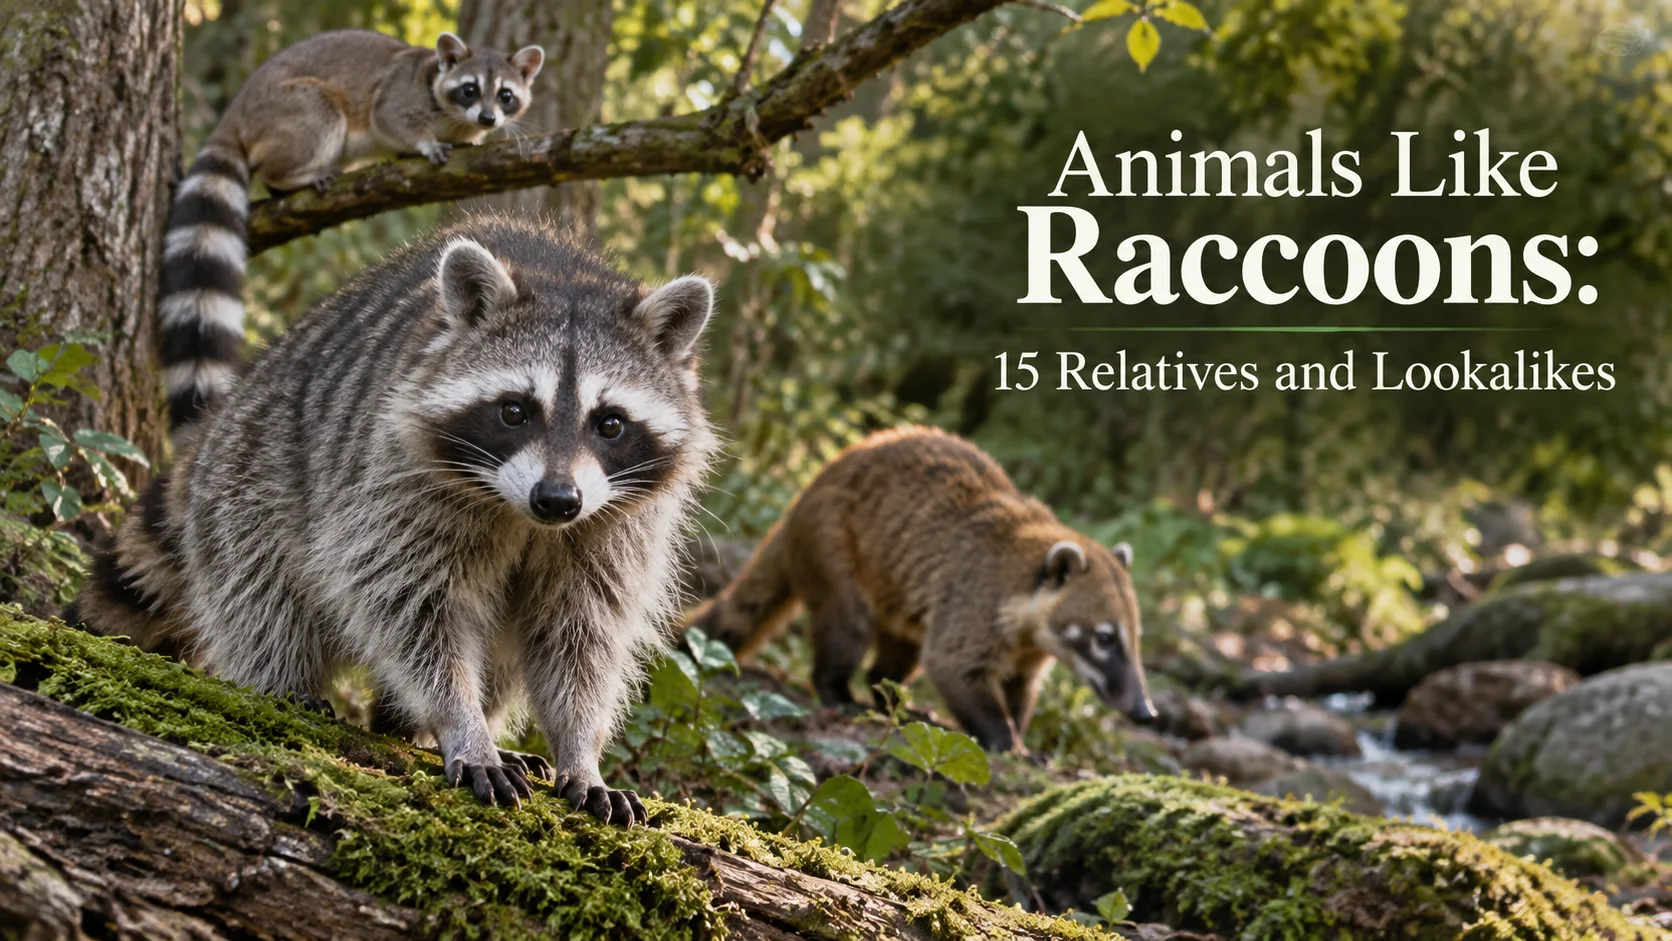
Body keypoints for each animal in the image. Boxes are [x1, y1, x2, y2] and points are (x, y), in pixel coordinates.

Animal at [75, 219, 717, 822]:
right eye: (514, 411)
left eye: (609, 424)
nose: (557, 500)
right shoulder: (394, 475)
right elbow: (410, 604)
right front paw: (461, 724)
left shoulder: (616, 522)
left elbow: (581, 634)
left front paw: (579, 747)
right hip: (251, 467)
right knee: (261, 591)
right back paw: (285, 681)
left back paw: (412, 727)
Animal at [160, 30, 542, 427]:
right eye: (469, 89)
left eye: (505, 95)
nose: (487, 118)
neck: (456, 116)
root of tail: (236, 113)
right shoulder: (399, 94)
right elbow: (389, 118)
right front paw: (425, 142)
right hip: (288, 109)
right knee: (321, 114)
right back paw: (290, 175)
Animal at [690, 426, 1155, 753]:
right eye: (1104, 638)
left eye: (1135, 638)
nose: (1146, 712)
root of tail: (797, 507)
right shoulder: (974, 598)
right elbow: (952, 665)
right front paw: (1006, 740)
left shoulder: (1027, 650)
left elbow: (1021, 689)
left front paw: (1019, 731)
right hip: (833, 543)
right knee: (849, 626)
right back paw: (838, 691)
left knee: (896, 655)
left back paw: (893, 700)